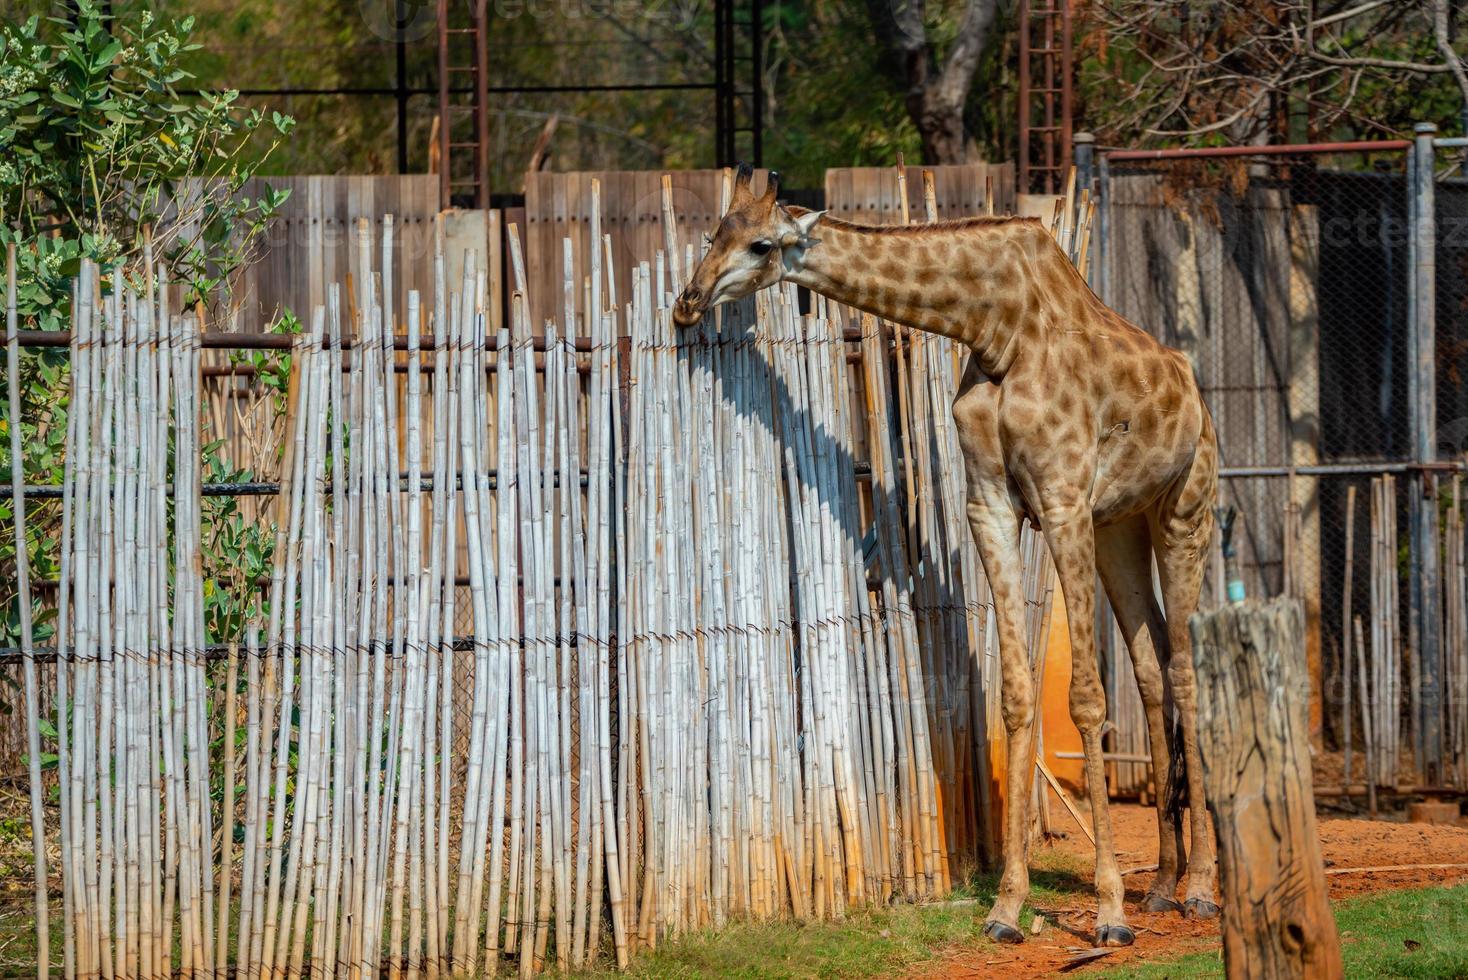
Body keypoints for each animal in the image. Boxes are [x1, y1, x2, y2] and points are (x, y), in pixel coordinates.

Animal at [678, 168, 1227, 950]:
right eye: (713, 234)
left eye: (759, 244)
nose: (686, 304)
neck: (997, 327)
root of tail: (1193, 390)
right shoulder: (991, 505)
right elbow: (1017, 694)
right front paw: (1007, 907)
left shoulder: (1062, 500)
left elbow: (1086, 698)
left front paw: (1109, 914)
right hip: (1122, 524)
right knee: (1151, 665)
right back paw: (1164, 883)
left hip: (1187, 508)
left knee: (1184, 669)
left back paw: (1201, 890)